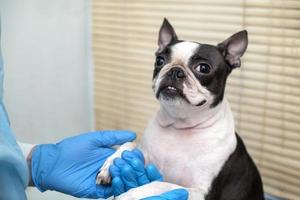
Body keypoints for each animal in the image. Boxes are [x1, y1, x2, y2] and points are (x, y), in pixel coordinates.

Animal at [96, 18, 262, 199]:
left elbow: (162, 185)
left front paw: (131, 194)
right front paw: (109, 165)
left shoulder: (200, 192)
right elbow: (129, 145)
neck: (178, 125)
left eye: (204, 68)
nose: (175, 70)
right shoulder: (145, 152)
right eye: (160, 61)